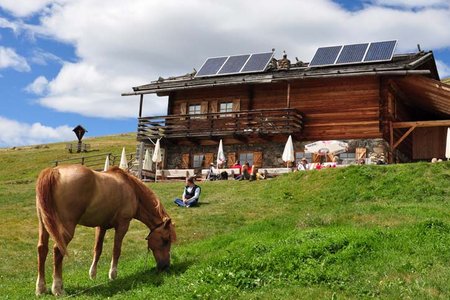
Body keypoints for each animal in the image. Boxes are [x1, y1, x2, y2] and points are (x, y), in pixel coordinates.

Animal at [34, 165, 176, 296]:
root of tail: (54, 171)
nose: (166, 266)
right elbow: (116, 250)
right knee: (58, 250)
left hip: (44, 225)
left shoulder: (101, 226)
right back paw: (58, 288)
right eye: (165, 240)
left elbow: (97, 250)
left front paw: (92, 275)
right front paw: (112, 275)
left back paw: (41, 288)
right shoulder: (123, 225)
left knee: (42, 249)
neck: (132, 190)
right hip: (66, 228)